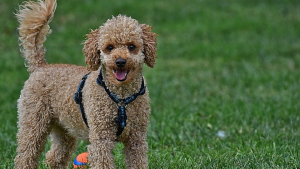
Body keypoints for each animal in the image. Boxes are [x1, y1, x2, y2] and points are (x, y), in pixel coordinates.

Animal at [14, 0, 157, 168]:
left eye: (131, 46)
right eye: (109, 47)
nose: (120, 61)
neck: (121, 97)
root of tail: (40, 66)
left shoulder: (136, 139)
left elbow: (138, 161)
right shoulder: (101, 138)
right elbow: (103, 162)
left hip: (64, 129)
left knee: (54, 157)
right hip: (33, 123)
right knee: (25, 155)